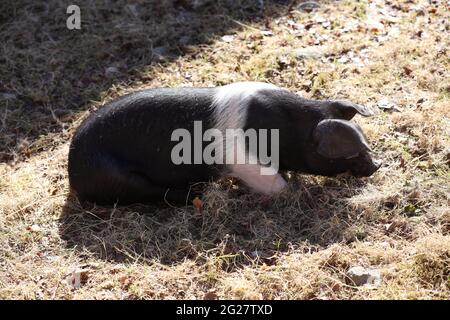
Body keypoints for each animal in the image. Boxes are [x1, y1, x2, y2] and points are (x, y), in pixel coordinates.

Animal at [68, 81, 382, 204]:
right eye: (348, 154)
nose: (377, 164)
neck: (289, 130)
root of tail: (73, 171)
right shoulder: (246, 161)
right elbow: (277, 184)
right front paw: (298, 191)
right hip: (118, 178)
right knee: (154, 193)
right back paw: (197, 194)